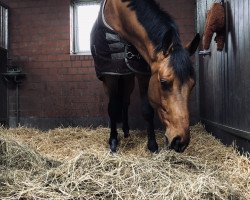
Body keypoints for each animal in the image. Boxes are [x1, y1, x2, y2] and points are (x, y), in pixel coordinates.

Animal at [91, 0, 200, 152]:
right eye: (164, 83)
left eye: (192, 85)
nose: (180, 141)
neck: (119, 16)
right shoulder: (110, 75)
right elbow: (112, 108)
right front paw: (113, 142)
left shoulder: (142, 74)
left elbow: (147, 110)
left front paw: (152, 145)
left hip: (128, 79)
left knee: (125, 101)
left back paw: (126, 131)